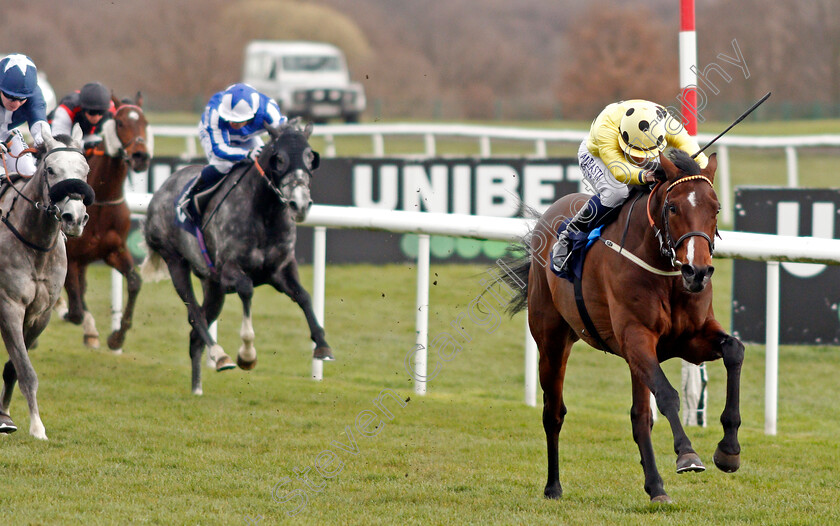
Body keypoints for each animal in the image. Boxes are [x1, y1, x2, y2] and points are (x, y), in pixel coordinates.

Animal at [0, 127, 93, 442]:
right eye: (51, 170)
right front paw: (37, 427)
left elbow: (14, 368)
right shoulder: (9, 307)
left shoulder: (40, 314)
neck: (35, 245)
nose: (74, 218)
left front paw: (5, 416)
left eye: (86, 170)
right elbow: (26, 371)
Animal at [54, 95, 152, 354]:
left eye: (145, 122)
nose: (140, 157)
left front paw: (116, 338)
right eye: (119, 122)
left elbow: (135, 282)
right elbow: (76, 310)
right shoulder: (71, 258)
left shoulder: (113, 250)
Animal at [139, 120, 334, 396]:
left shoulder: (281, 268)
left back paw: (197, 388)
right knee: (195, 315)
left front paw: (322, 344)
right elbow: (246, 289)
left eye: (310, 157)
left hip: (212, 286)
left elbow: (304, 296)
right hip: (176, 261)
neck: (265, 213)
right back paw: (220, 356)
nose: (300, 204)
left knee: (195, 334)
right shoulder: (228, 271)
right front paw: (247, 354)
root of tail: (161, 190)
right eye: (279, 159)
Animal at [498, 151, 740, 506]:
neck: (664, 270)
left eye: (716, 207)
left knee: (639, 417)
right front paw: (687, 455)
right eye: (673, 207)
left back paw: (656, 487)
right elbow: (667, 395)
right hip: (552, 340)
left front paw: (728, 451)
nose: (697, 272)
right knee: (553, 412)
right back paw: (553, 486)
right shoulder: (636, 338)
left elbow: (735, 350)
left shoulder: (689, 340)